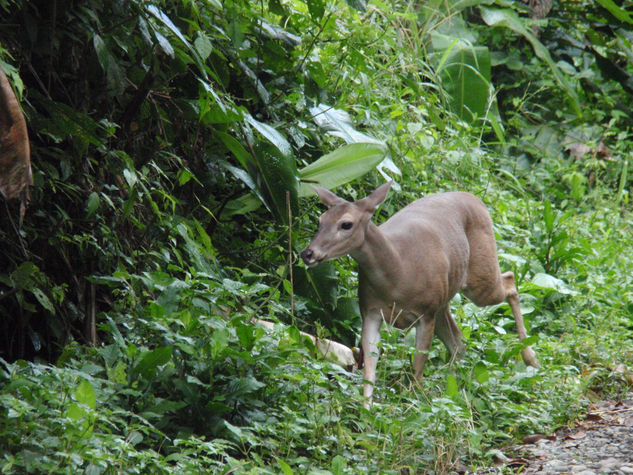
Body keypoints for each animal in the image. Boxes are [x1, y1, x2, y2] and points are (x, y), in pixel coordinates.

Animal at [302, 180, 540, 408]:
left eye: (346, 224)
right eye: (321, 220)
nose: (307, 253)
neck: (398, 273)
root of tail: (476, 199)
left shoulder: (426, 313)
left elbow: (417, 369)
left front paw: (411, 404)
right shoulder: (369, 311)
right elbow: (369, 369)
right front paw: (365, 411)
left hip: (479, 279)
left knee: (510, 281)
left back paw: (530, 358)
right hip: (445, 296)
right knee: (459, 341)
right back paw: (453, 385)